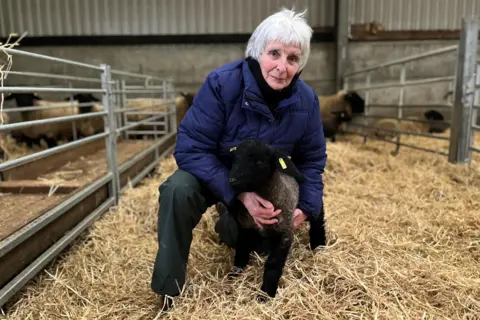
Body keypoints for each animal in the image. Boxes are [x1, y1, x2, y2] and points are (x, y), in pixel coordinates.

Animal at [220, 139, 326, 302]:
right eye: (236, 158)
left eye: (260, 161)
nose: (233, 180)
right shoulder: (245, 228)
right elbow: (241, 250)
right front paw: (235, 273)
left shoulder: (284, 234)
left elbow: (273, 264)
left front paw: (265, 294)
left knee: (318, 217)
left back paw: (319, 244)